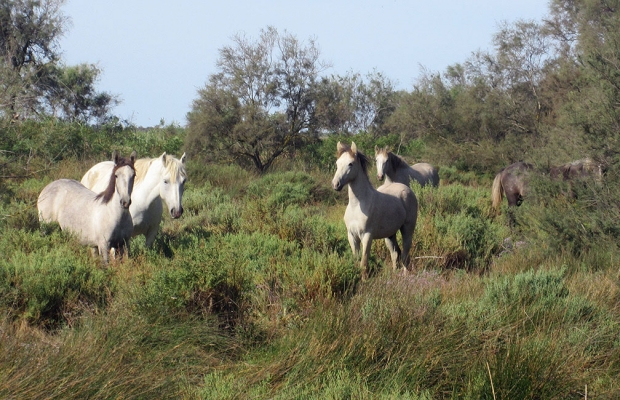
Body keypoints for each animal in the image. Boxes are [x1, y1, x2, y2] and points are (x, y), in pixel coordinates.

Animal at [332, 143, 414, 278]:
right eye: (337, 163)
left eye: (350, 164)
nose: (335, 185)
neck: (357, 206)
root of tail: (407, 189)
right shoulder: (352, 236)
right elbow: (356, 260)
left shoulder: (367, 236)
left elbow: (364, 262)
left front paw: (365, 279)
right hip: (390, 235)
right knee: (395, 253)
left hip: (407, 229)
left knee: (405, 254)